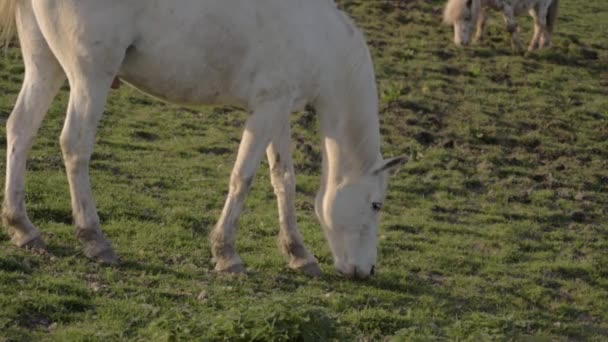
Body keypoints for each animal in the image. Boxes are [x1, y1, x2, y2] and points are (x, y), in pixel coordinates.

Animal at [2, 0, 408, 280]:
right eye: (376, 205)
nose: (368, 270)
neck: (319, 36)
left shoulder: (276, 110)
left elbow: (283, 180)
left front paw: (298, 253)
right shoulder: (266, 110)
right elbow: (243, 178)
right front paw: (226, 254)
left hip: (44, 66)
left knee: (20, 129)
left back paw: (23, 227)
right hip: (91, 77)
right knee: (75, 145)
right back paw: (94, 239)